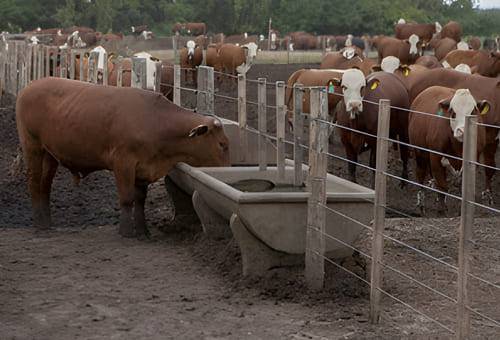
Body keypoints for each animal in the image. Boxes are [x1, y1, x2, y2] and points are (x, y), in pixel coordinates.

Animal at [13, 77, 229, 236]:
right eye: (222, 145)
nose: (227, 168)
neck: (156, 121)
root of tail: (29, 87)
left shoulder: (143, 168)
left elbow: (140, 200)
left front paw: (142, 230)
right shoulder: (123, 163)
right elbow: (126, 198)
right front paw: (126, 231)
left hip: (50, 154)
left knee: (44, 186)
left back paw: (47, 222)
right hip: (32, 147)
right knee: (33, 182)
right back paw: (39, 224)